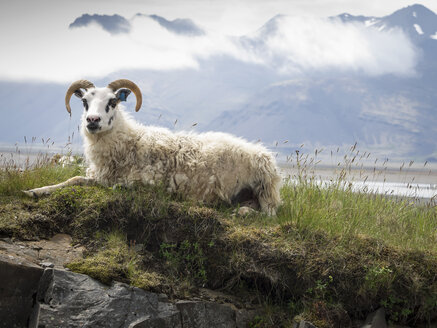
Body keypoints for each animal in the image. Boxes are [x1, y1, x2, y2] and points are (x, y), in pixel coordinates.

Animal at [25, 80, 282, 215]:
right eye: (85, 102)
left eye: (112, 101)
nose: (92, 121)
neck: (128, 141)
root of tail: (265, 154)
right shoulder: (101, 176)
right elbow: (73, 180)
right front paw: (35, 191)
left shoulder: (143, 181)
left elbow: (115, 186)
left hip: (265, 189)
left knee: (269, 214)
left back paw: (243, 212)